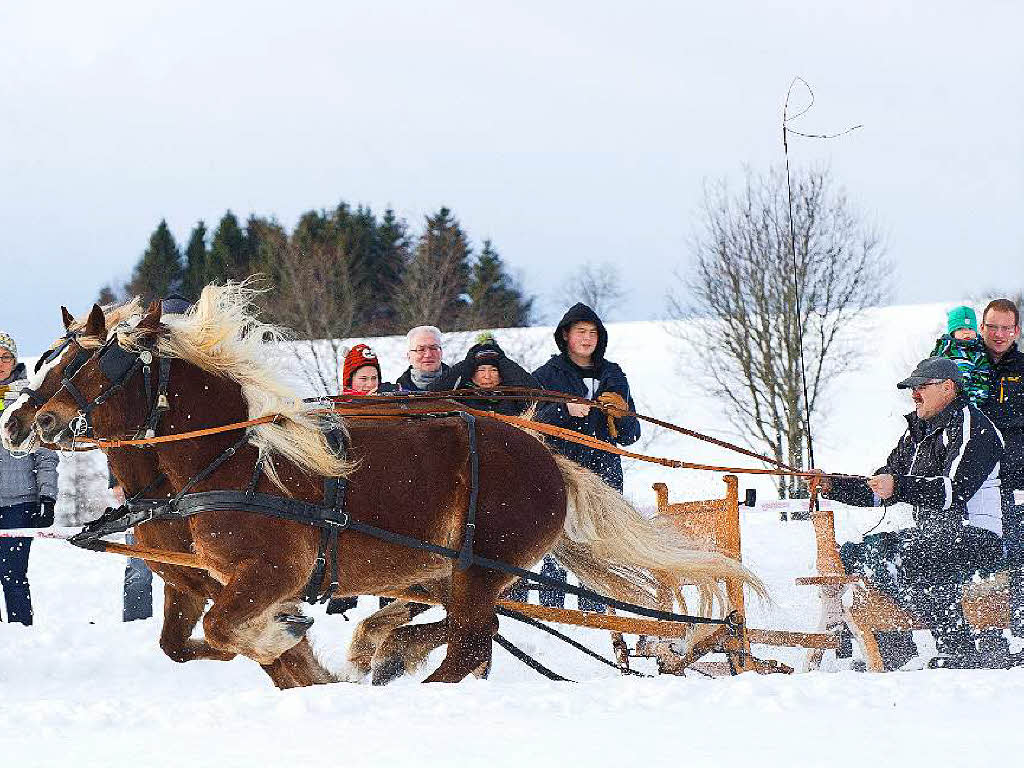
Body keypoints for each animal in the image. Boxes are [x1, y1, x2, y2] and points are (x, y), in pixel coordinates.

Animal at [32, 286, 765, 688]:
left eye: (92, 365)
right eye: (49, 359)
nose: (29, 421)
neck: (235, 460)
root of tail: (545, 456)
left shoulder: (265, 574)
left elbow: (222, 632)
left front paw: (290, 646)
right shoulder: (204, 577)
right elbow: (187, 644)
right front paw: (304, 655)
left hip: (479, 563)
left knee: (469, 642)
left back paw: (396, 664)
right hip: (445, 568)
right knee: (469, 630)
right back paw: (383, 650)